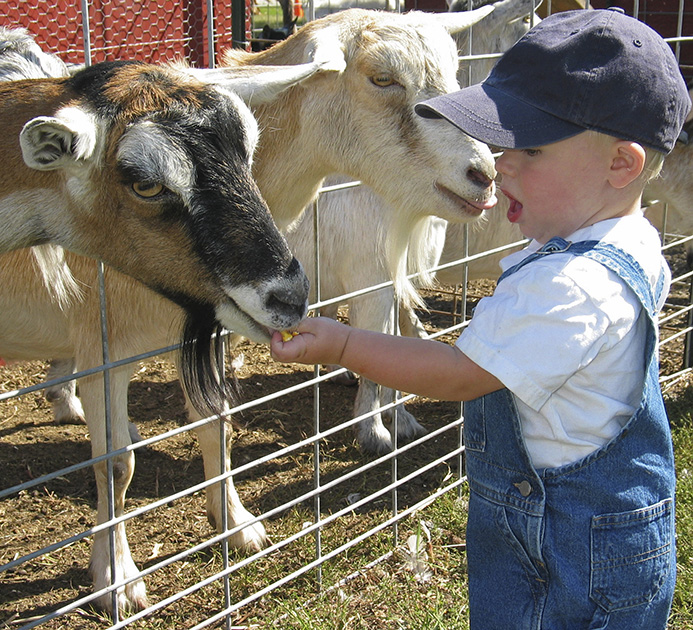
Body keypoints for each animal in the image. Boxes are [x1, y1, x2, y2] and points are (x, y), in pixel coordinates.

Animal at [3, 9, 499, 614]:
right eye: (381, 78)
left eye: (453, 69)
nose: (484, 174)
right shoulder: (104, 347)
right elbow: (116, 465)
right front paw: (117, 581)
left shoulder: (206, 331)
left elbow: (217, 425)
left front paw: (237, 527)